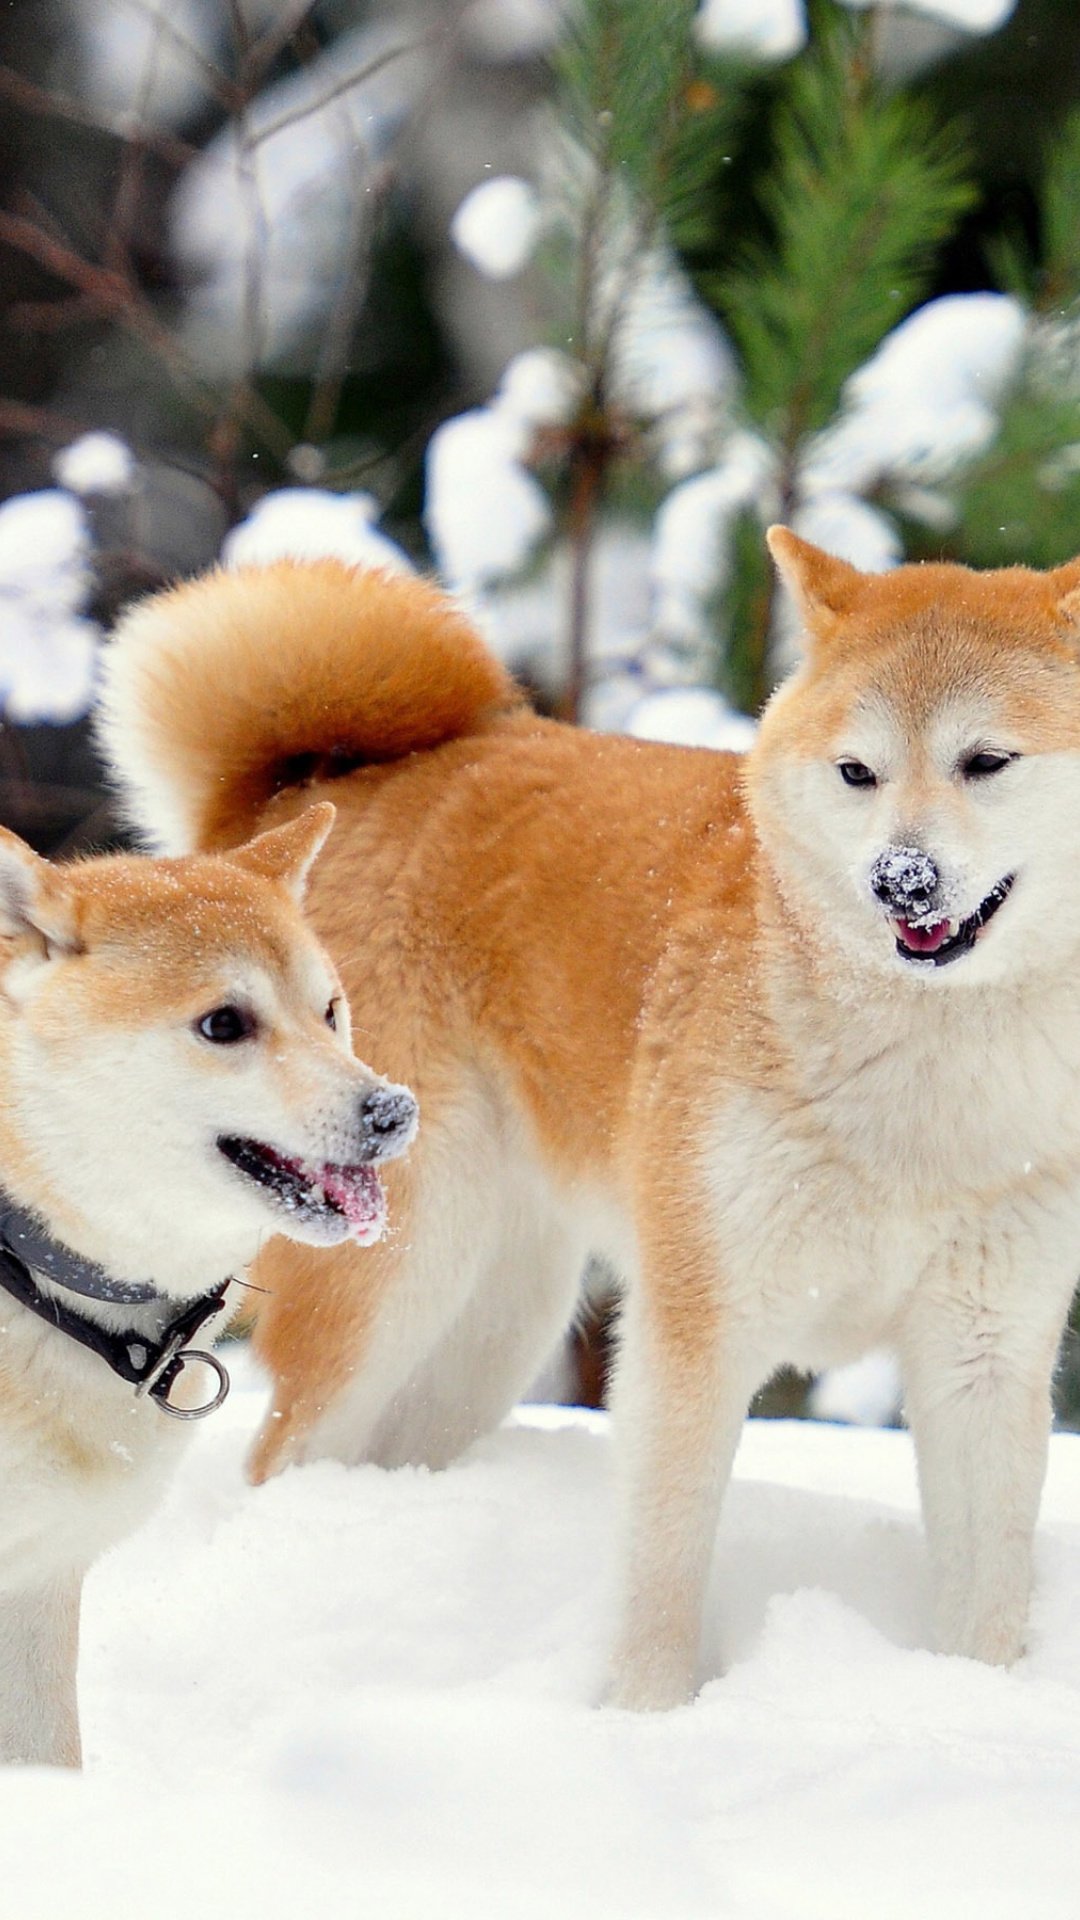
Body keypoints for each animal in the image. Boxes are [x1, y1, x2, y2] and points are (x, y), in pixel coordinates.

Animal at [102, 541, 1080, 1712]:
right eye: (858, 773)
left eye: (987, 761)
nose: (903, 879)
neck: (927, 1085)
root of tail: (316, 788)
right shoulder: (697, 1329)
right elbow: (664, 1567)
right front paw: (648, 1719)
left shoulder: (987, 1352)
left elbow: (986, 1598)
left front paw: (970, 1704)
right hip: (396, 1286)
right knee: (279, 1458)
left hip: (494, 1328)